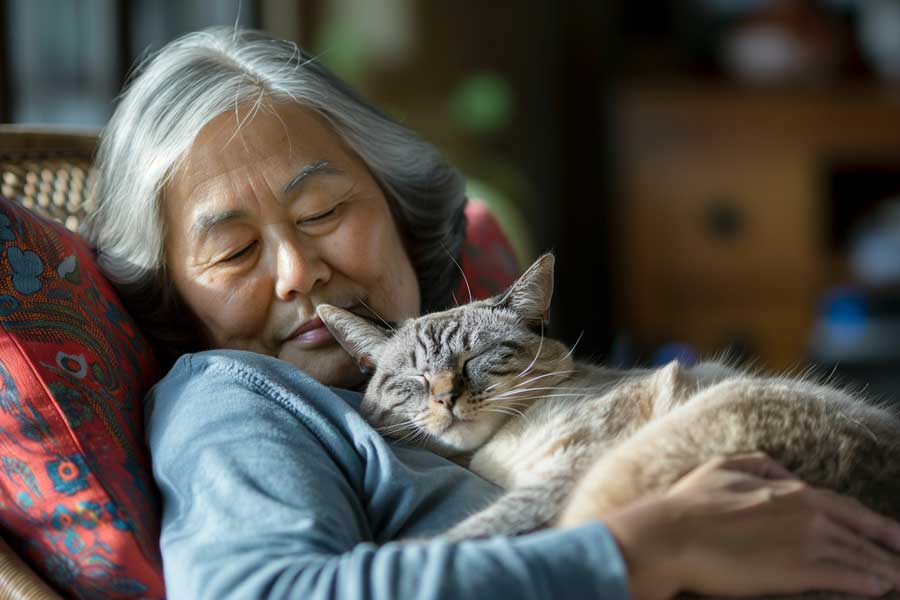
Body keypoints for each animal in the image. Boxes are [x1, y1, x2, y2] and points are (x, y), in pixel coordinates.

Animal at [314, 253, 900, 552]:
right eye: (413, 378)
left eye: (476, 358)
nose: (445, 397)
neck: (494, 454)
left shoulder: (572, 469)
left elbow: (466, 533)